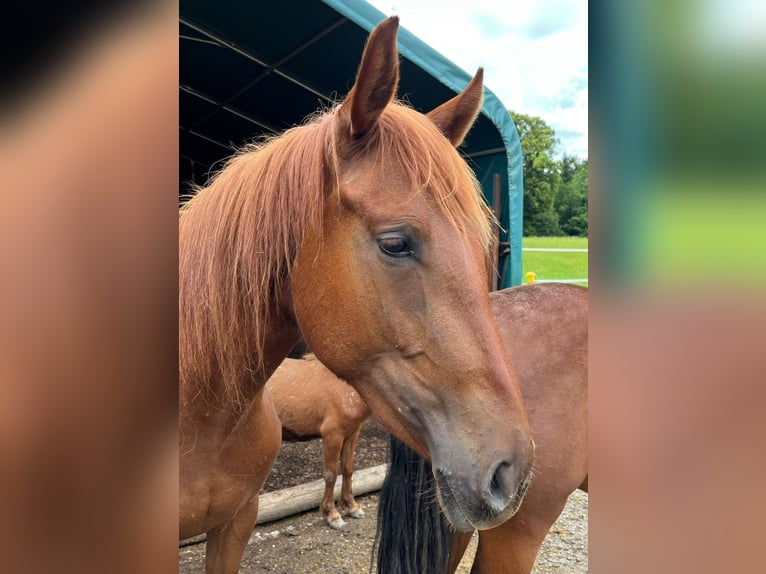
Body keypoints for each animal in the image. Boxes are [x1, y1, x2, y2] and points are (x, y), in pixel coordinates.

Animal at [268, 356, 372, 532]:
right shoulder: (332, 435)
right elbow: (330, 475)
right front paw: (332, 515)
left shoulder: (352, 433)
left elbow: (348, 469)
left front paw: (352, 506)